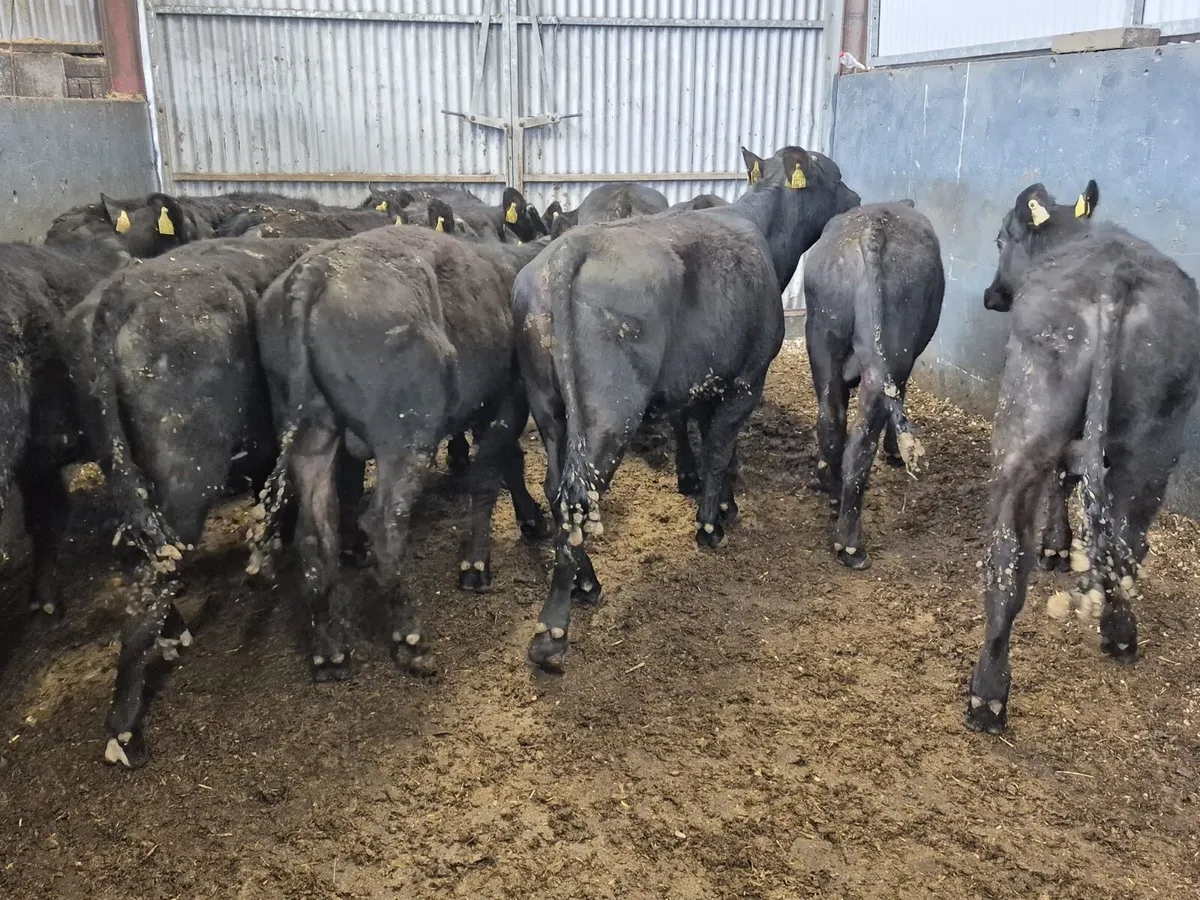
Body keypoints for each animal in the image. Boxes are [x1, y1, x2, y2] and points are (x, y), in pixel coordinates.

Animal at [63, 238, 346, 768]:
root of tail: (118, 294)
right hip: (187, 469)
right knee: (150, 579)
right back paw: (125, 731)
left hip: (124, 473)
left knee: (147, 558)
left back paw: (173, 634)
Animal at [249, 202, 553, 689]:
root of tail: (316, 271)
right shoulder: (507, 400)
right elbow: (491, 479)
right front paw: (476, 564)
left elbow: (509, 464)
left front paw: (530, 518)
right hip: (404, 437)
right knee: (383, 528)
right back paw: (410, 639)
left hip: (309, 436)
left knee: (314, 538)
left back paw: (329, 651)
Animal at [512, 145, 861, 673]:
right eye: (835, 176)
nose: (856, 197)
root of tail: (572, 248)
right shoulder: (747, 378)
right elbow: (719, 448)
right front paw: (710, 524)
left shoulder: (704, 379)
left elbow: (718, 444)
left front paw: (725, 504)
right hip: (609, 412)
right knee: (579, 494)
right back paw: (552, 630)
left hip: (550, 408)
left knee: (557, 489)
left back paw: (586, 583)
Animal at [802, 200, 945, 569]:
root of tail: (874, 229)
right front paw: (894, 450)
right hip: (890, 356)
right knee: (862, 442)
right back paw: (851, 546)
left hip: (824, 338)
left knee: (831, 420)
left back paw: (830, 487)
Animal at [966, 180, 1200, 734]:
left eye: (1002, 238)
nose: (992, 295)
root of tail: (1115, 278)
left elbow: (1062, 481)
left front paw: (1055, 546)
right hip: (1153, 443)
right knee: (1123, 534)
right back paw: (1118, 629)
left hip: (1029, 426)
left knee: (1011, 551)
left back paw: (989, 692)